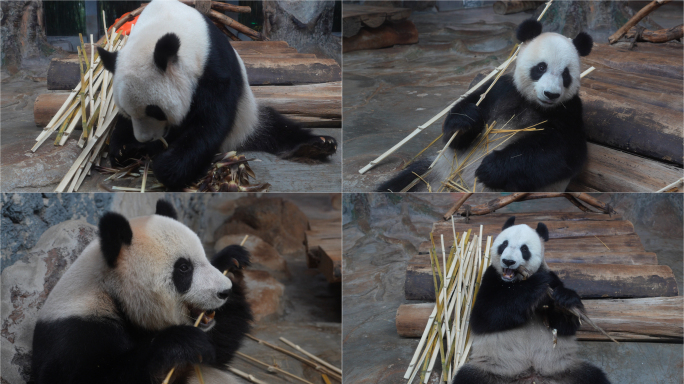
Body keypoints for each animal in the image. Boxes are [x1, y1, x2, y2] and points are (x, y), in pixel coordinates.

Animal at [31, 200, 251, 384]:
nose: (224, 291)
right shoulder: (75, 332)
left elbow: (218, 352)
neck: (110, 291)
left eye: (205, 256)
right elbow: (80, 377)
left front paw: (231, 261)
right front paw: (181, 343)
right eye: (184, 268)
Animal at [97, 0, 338, 189]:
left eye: (155, 111)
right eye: (127, 111)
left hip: (247, 118)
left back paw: (318, 144)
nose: (144, 138)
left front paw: (168, 167)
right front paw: (123, 148)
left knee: (277, 129)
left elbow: (210, 122)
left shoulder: (213, 66)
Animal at [380, 18, 592, 192]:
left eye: (566, 75)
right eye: (541, 67)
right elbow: (460, 125)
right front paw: (465, 121)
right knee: (405, 181)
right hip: (432, 173)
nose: (551, 94)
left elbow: (561, 152)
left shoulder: (568, 111)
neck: (532, 102)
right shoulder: (501, 90)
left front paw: (491, 168)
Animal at [452, 218, 612, 382]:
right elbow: (484, 316)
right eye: (504, 244)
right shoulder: (491, 278)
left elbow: (566, 326)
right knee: (466, 377)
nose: (508, 261)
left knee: (594, 375)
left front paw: (565, 300)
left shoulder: (552, 278)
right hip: (491, 370)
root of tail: (530, 375)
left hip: (565, 369)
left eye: (524, 249)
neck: (514, 282)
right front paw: (536, 284)